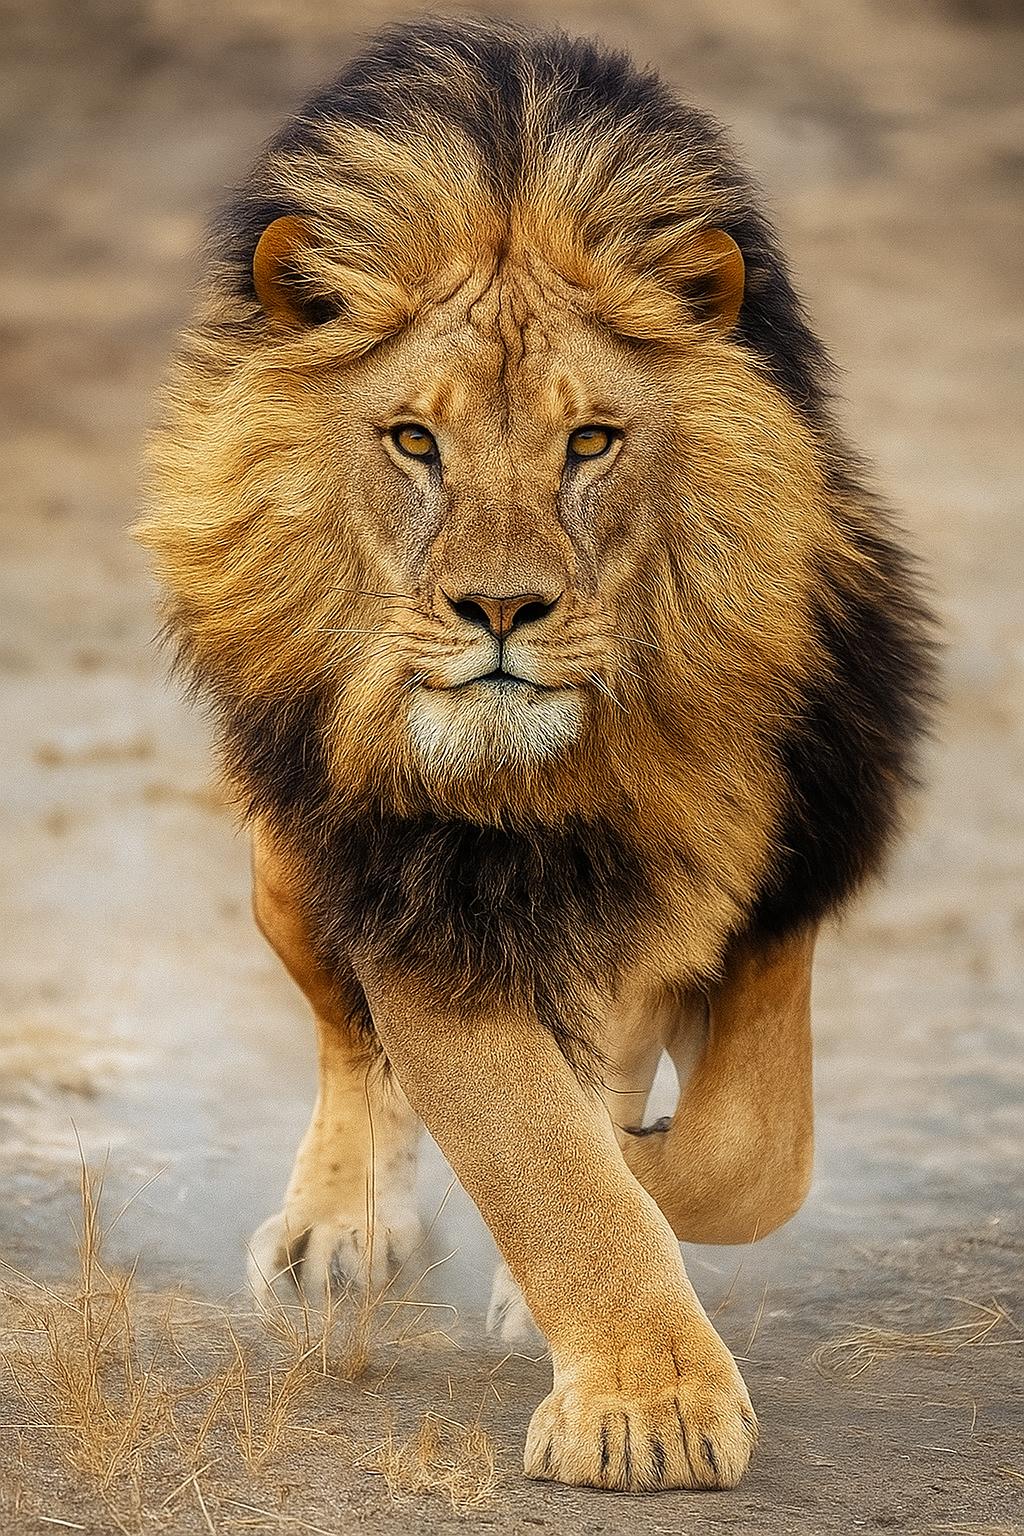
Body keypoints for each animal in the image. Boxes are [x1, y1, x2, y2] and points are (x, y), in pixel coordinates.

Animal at [135, 17, 935, 1493]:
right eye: (413, 440)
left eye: (591, 442)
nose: (499, 611)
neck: (576, 773)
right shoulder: (415, 893)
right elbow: (533, 1148)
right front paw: (648, 1408)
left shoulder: (791, 869)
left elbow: (743, 1154)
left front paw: (634, 1234)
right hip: (286, 865)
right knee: (349, 1041)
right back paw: (340, 1231)